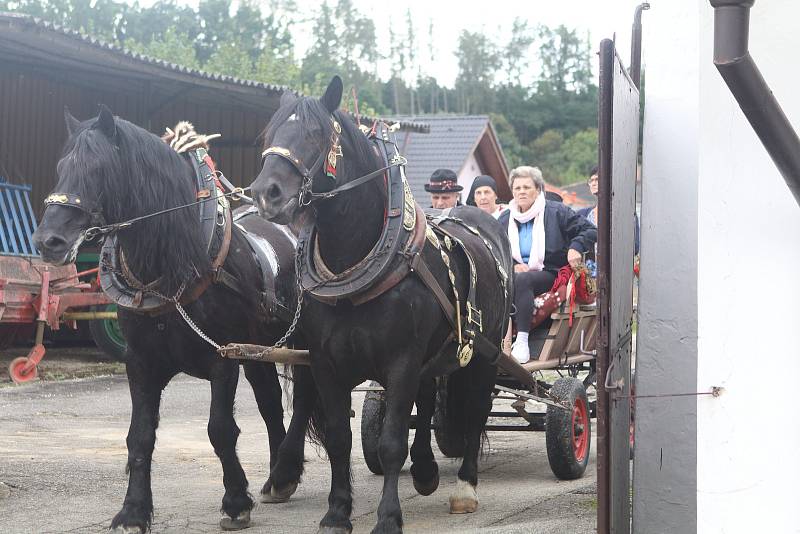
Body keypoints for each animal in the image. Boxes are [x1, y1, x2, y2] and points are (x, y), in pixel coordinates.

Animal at [32, 107, 318, 532]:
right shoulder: (141, 363)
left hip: (298, 345)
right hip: (259, 352)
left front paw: (235, 502)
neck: (174, 267)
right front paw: (133, 510)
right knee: (270, 403)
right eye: (61, 167)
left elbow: (220, 429)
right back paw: (276, 477)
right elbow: (139, 436)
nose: (48, 241)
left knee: (301, 400)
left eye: (98, 169)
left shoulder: (223, 357)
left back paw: (285, 471)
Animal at [252, 76, 512, 534]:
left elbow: (392, 441)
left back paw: (464, 486)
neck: (356, 263)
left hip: (485, 352)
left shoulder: (401, 360)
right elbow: (340, 437)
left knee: (476, 407)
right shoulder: (325, 362)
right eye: (270, 134)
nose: (267, 193)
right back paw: (425, 470)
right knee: (426, 400)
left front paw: (388, 516)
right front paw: (337, 512)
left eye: (315, 133)